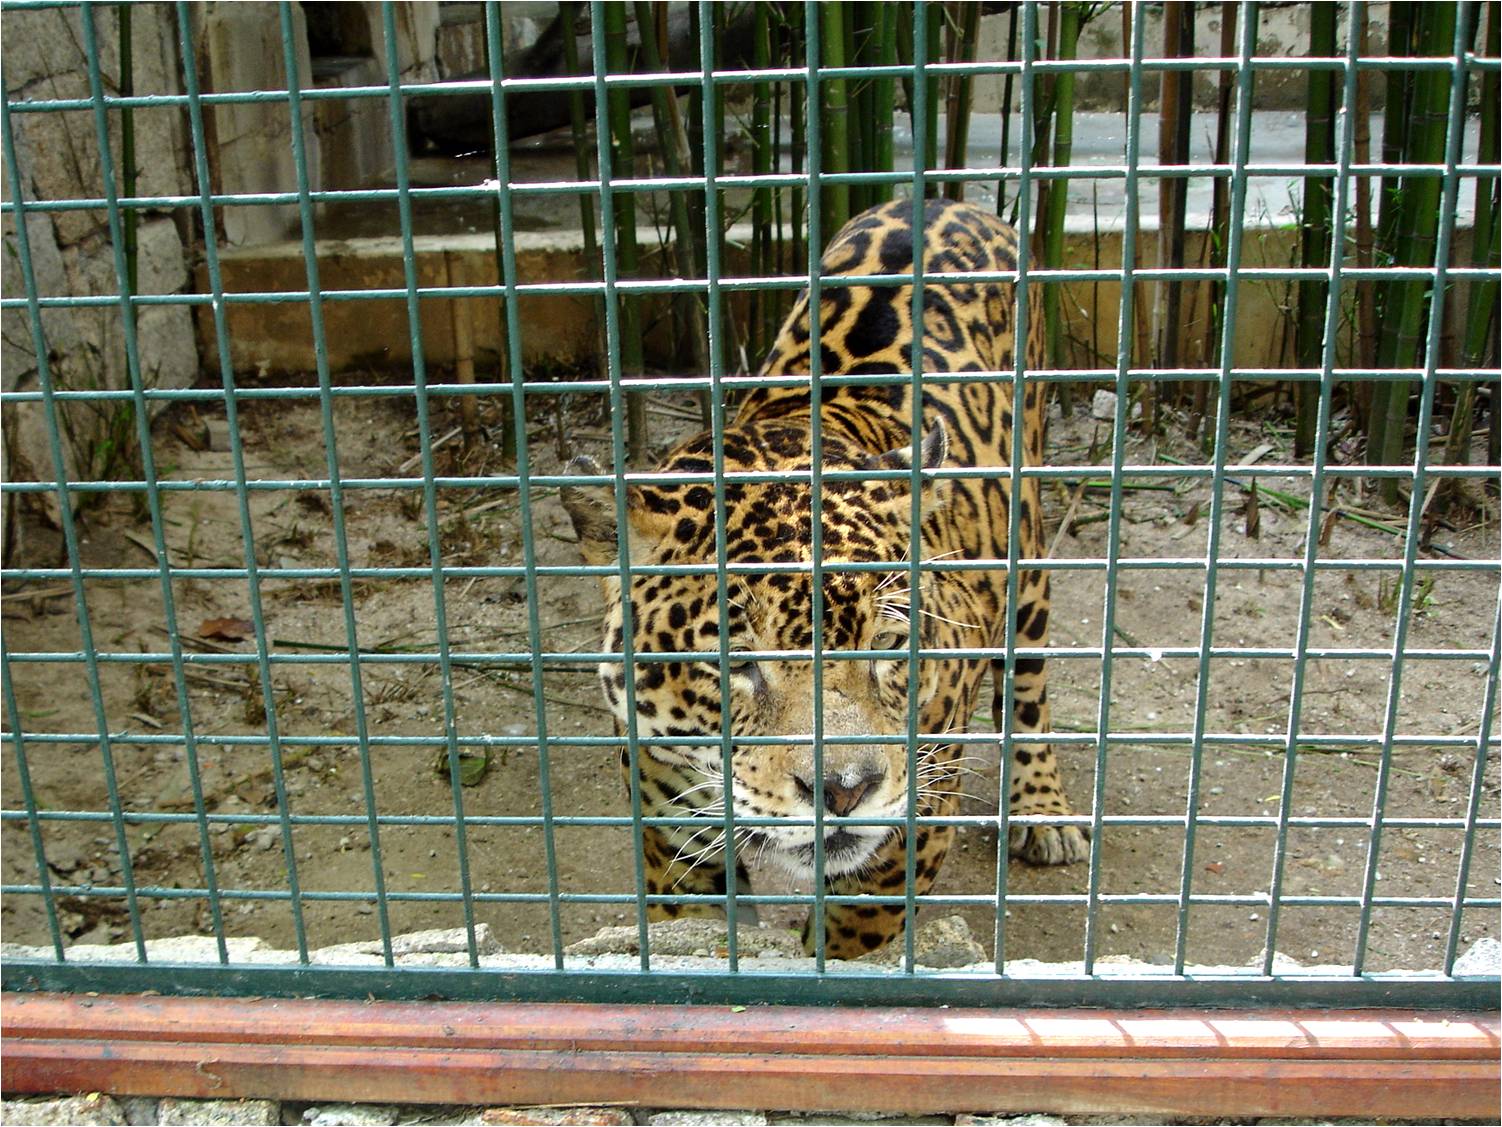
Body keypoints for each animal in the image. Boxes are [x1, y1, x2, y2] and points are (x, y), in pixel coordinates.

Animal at [562, 197, 1088, 958]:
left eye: (889, 647)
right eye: (733, 662)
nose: (844, 789)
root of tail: (947, 200)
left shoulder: (910, 819)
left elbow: (852, 940)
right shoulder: (668, 824)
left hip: (1025, 538)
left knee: (1029, 679)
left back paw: (1043, 809)